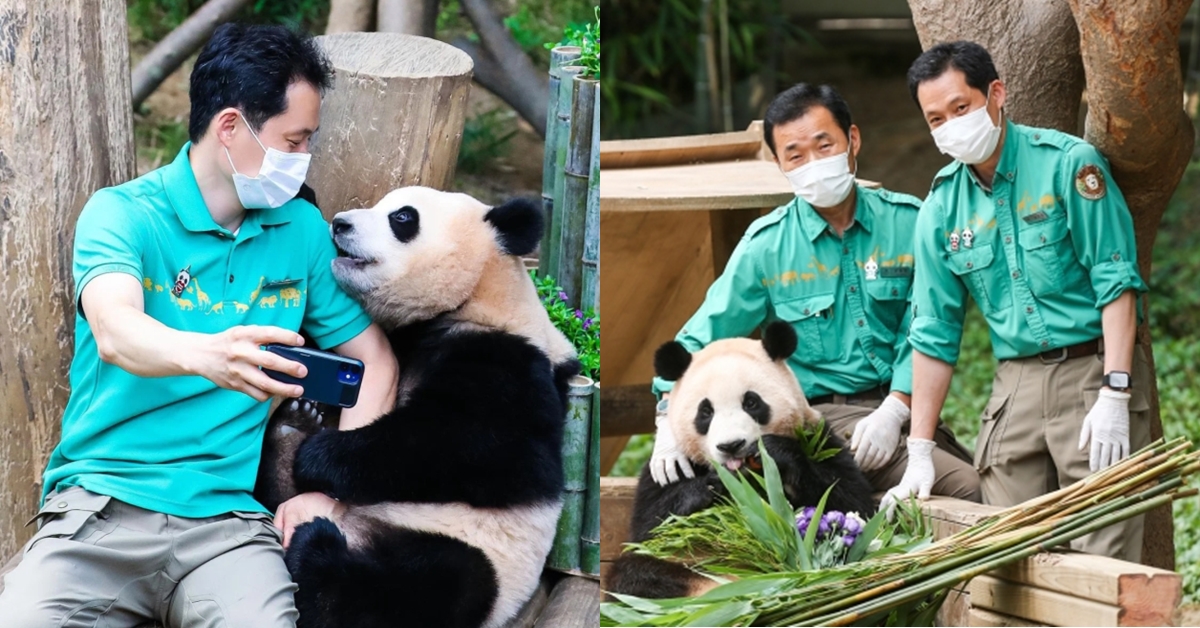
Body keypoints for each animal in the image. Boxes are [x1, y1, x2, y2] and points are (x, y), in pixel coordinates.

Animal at [279, 187, 580, 628]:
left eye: (403, 218)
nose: (340, 223)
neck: (477, 297)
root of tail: (359, 531)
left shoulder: (512, 368)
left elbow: (474, 447)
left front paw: (319, 457)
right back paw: (289, 435)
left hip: (475, 552)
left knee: (422, 588)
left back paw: (316, 549)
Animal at [609, 324, 873, 600]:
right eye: (706, 412)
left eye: (751, 402)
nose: (731, 445)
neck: (746, 475)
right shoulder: (670, 467)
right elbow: (648, 527)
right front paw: (710, 485)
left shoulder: (818, 439)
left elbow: (848, 502)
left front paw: (775, 452)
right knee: (636, 572)